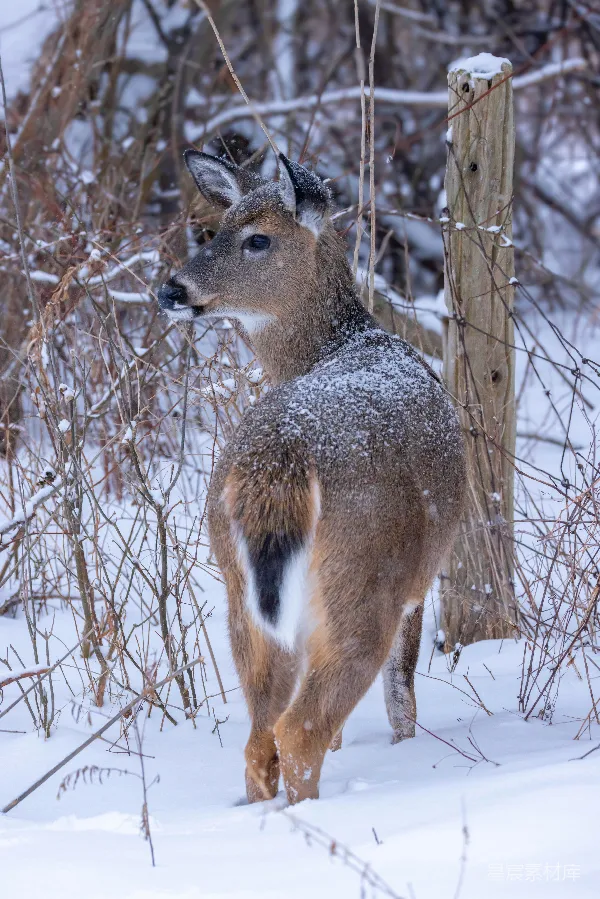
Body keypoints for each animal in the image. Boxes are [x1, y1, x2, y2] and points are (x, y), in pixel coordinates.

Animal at [158, 150, 465, 805]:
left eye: (256, 238)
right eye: (217, 229)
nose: (170, 289)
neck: (340, 343)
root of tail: (282, 460)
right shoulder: (419, 579)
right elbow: (402, 698)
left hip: (239, 593)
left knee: (260, 737)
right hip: (364, 574)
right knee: (300, 728)